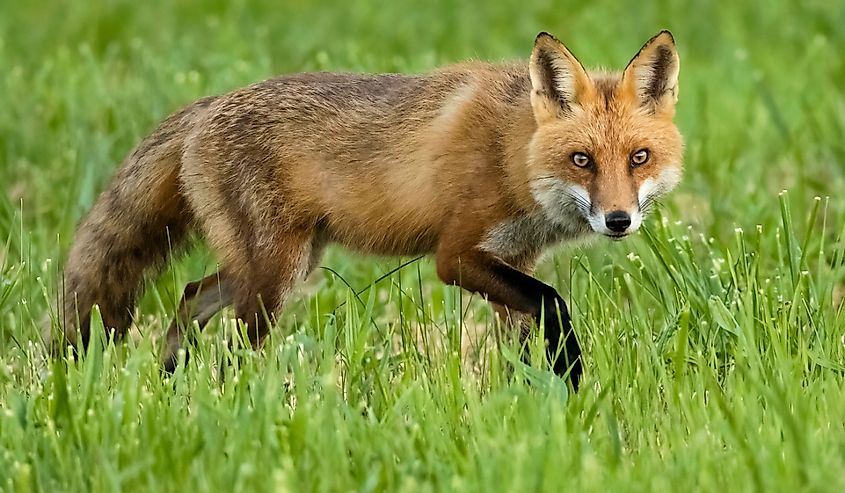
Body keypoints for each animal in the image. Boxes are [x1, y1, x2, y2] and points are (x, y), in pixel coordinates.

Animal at [57, 32, 680, 390]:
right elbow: (553, 304)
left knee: (190, 297)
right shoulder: (457, 255)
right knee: (231, 346)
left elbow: (528, 338)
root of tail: (207, 105)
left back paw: (169, 386)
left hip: (284, 264)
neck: (513, 152)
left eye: (639, 157)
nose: (618, 221)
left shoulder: (514, 259)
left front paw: (541, 404)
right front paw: (574, 382)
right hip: (274, 278)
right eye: (582, 160)